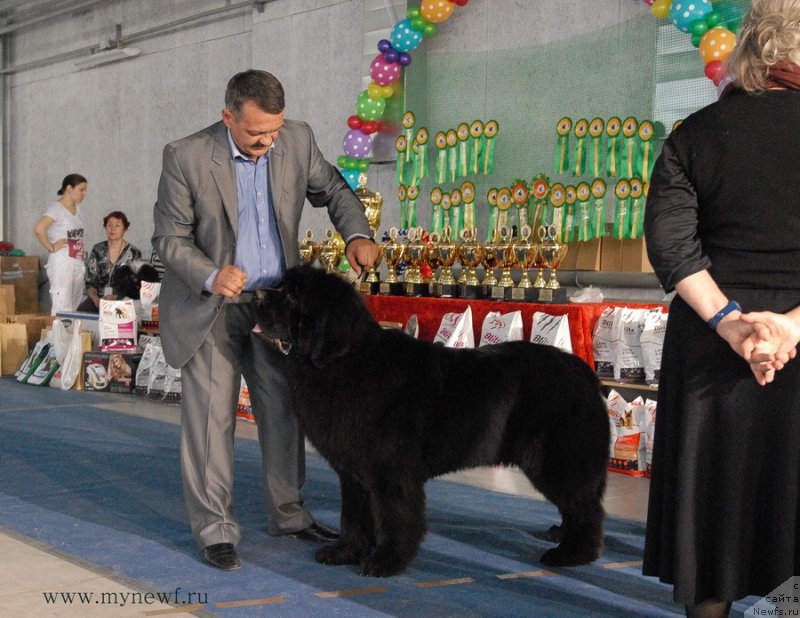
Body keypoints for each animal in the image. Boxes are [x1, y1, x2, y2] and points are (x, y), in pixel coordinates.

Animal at [253, 264, 608, 576]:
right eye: (281, 285)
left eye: (293, 295)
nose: (255, 294)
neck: (345, 361)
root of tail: (584, 372)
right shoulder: (353, 471)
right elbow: (353, 517)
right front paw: (346, 552)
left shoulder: (391, 472)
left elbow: (396, 518)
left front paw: (385, 562)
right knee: (577, 505)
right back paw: (561, 536)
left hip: (558, 461)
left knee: (586, 508)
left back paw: (572, 554)